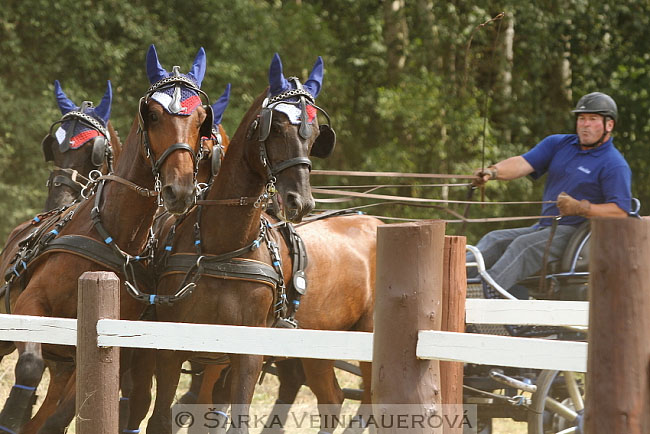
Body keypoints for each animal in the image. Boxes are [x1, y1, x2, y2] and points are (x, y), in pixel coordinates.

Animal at [0, 44, 213, 434]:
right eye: (153, 115)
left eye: (202, 118)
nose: (179, 190)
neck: (112, 233)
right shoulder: (30, 307)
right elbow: (30, 367)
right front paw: (10, 417)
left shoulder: (103, 347)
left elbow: (64, 414)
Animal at [123, 52, 334, 432]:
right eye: (275, 127)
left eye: (313, 136)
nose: (301, 201)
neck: (223, 248)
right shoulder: (169, 348)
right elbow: (159, 418)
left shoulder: (245, 355)